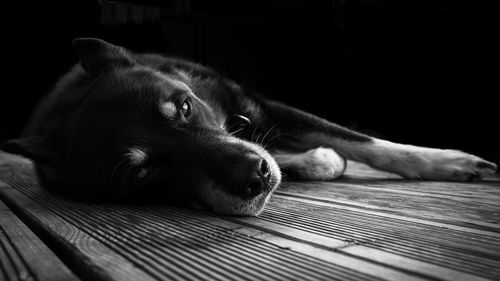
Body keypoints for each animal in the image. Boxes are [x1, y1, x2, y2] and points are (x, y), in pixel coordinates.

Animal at [2, 38, 496, 214]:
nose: (254, 177)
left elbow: (365, 141)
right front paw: (316, 161)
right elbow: (304, 154)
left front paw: (447, 161)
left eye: (184, 107)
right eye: (142, 172)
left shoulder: (262, 107)